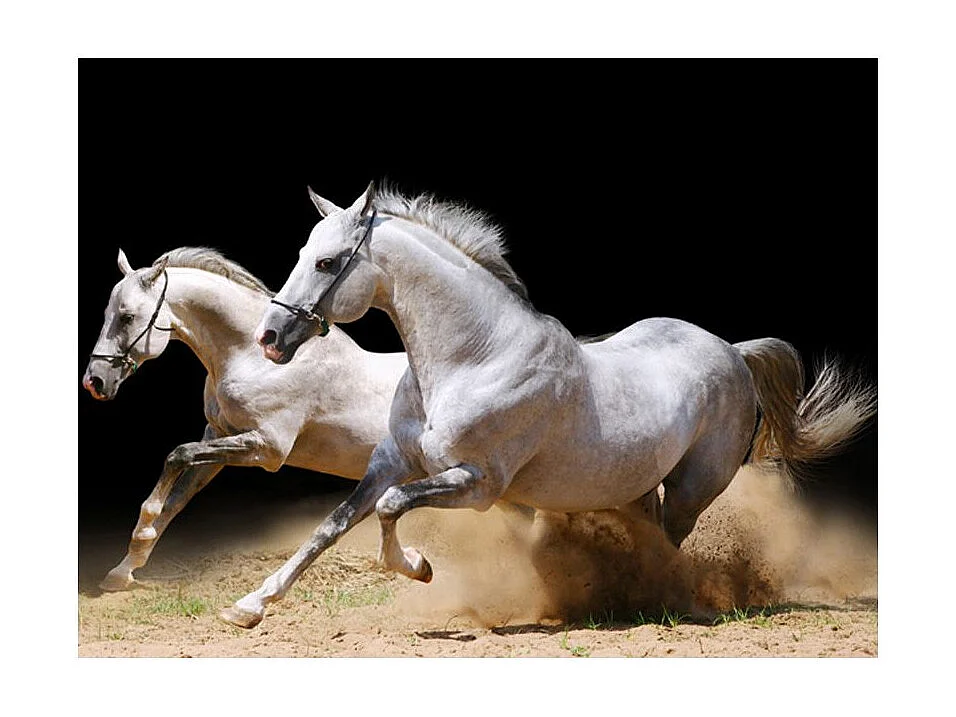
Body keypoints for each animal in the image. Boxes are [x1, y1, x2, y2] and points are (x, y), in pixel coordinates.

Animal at [82, 247, 409, 591]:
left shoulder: (267, 449)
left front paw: (142, 531)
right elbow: (177, 498)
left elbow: (177, 456)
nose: (94, 382)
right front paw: (123, 570)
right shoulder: (217, 436)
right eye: (107, 313)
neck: (254, 359)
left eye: (127, 317)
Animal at [220, 182, 875, 629]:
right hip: (635, 486)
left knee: (671, 543)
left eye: (327, 262)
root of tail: (732, 352)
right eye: (303, 252)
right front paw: (248, 606)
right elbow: (331, 526)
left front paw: (420, 566)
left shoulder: (478, 484)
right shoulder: (390, 462)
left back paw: (660, 600)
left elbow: (389, 508)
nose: (270, 338)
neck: (474, 357)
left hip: (693, 487)